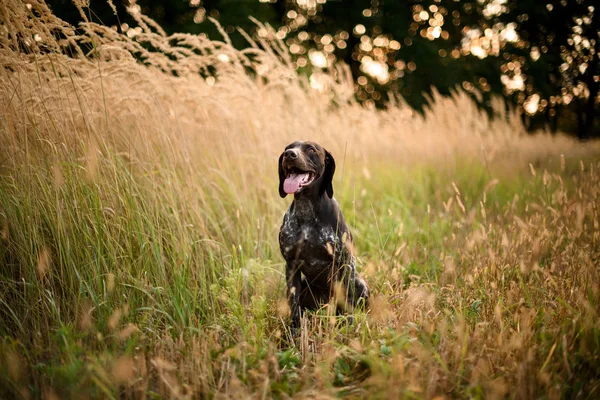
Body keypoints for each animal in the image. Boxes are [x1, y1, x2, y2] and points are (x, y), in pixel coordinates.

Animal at [278, 139, 368, 332]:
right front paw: (294, 332)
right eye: (287, 147)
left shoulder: (345, 262)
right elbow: (294, 306)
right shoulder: (291, 266)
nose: (290, 154)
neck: (306, 211)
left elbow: (348, 300)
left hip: (360, 283)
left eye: (311, 149)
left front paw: (349, 326)